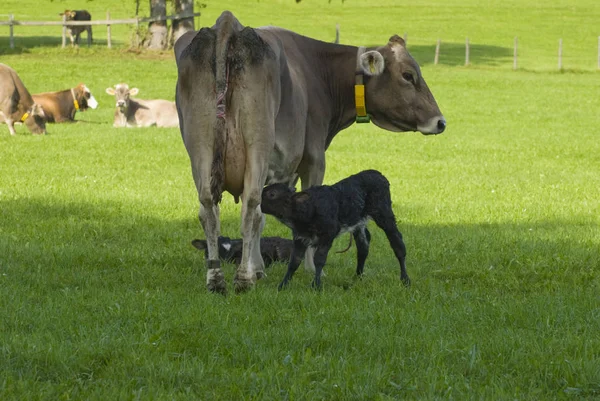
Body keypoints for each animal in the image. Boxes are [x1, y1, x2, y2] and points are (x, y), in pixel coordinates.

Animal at [260, 168, 410, 288]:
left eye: (272, 194)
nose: (257, 198)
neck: (308, 209)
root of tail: (377, 173)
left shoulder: (328, 234)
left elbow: (319, 259)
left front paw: (316, 285)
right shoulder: (299, 237)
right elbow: (294, 261)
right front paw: (283, 285)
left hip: (384, 214)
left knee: (398, 243)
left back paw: (405, 279)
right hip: (359, 222)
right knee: (363, 246)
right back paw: (358, 276)